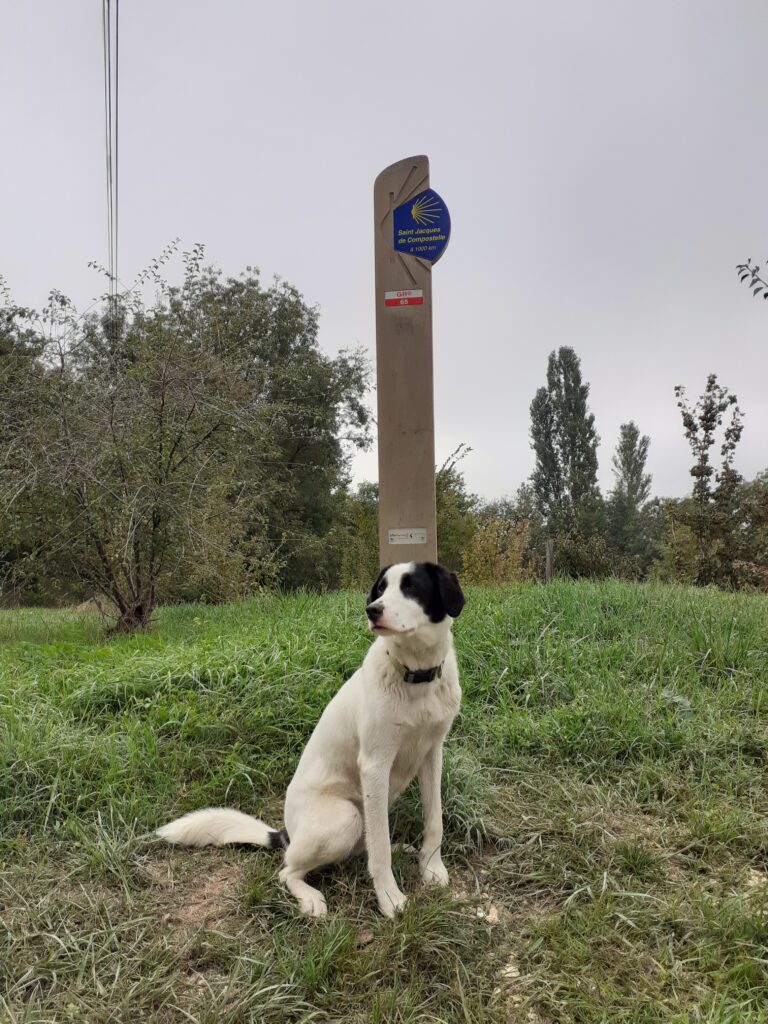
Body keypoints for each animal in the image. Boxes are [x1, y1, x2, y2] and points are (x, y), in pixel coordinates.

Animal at [157, 565, 462, 917]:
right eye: (381, 589)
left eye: (412, 587)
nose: (372, 611)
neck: (417, 678)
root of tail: (286, 833)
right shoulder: (375, 765)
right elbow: (380, 849)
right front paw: (390, 898)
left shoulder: (432, 753)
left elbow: (433, 820)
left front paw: (431, 868)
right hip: (346, 818)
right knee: (288, 870)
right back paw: (310, 897)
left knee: (365, 844)